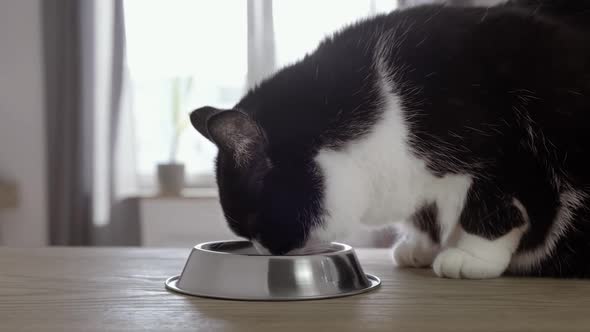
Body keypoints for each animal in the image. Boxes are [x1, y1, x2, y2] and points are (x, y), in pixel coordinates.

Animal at [190, 0, 590, 278]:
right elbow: (427, 214)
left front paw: (471, 256)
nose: (265, 252)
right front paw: (421, 247)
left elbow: (494, 206)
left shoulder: (501, 148)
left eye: (255, 220)